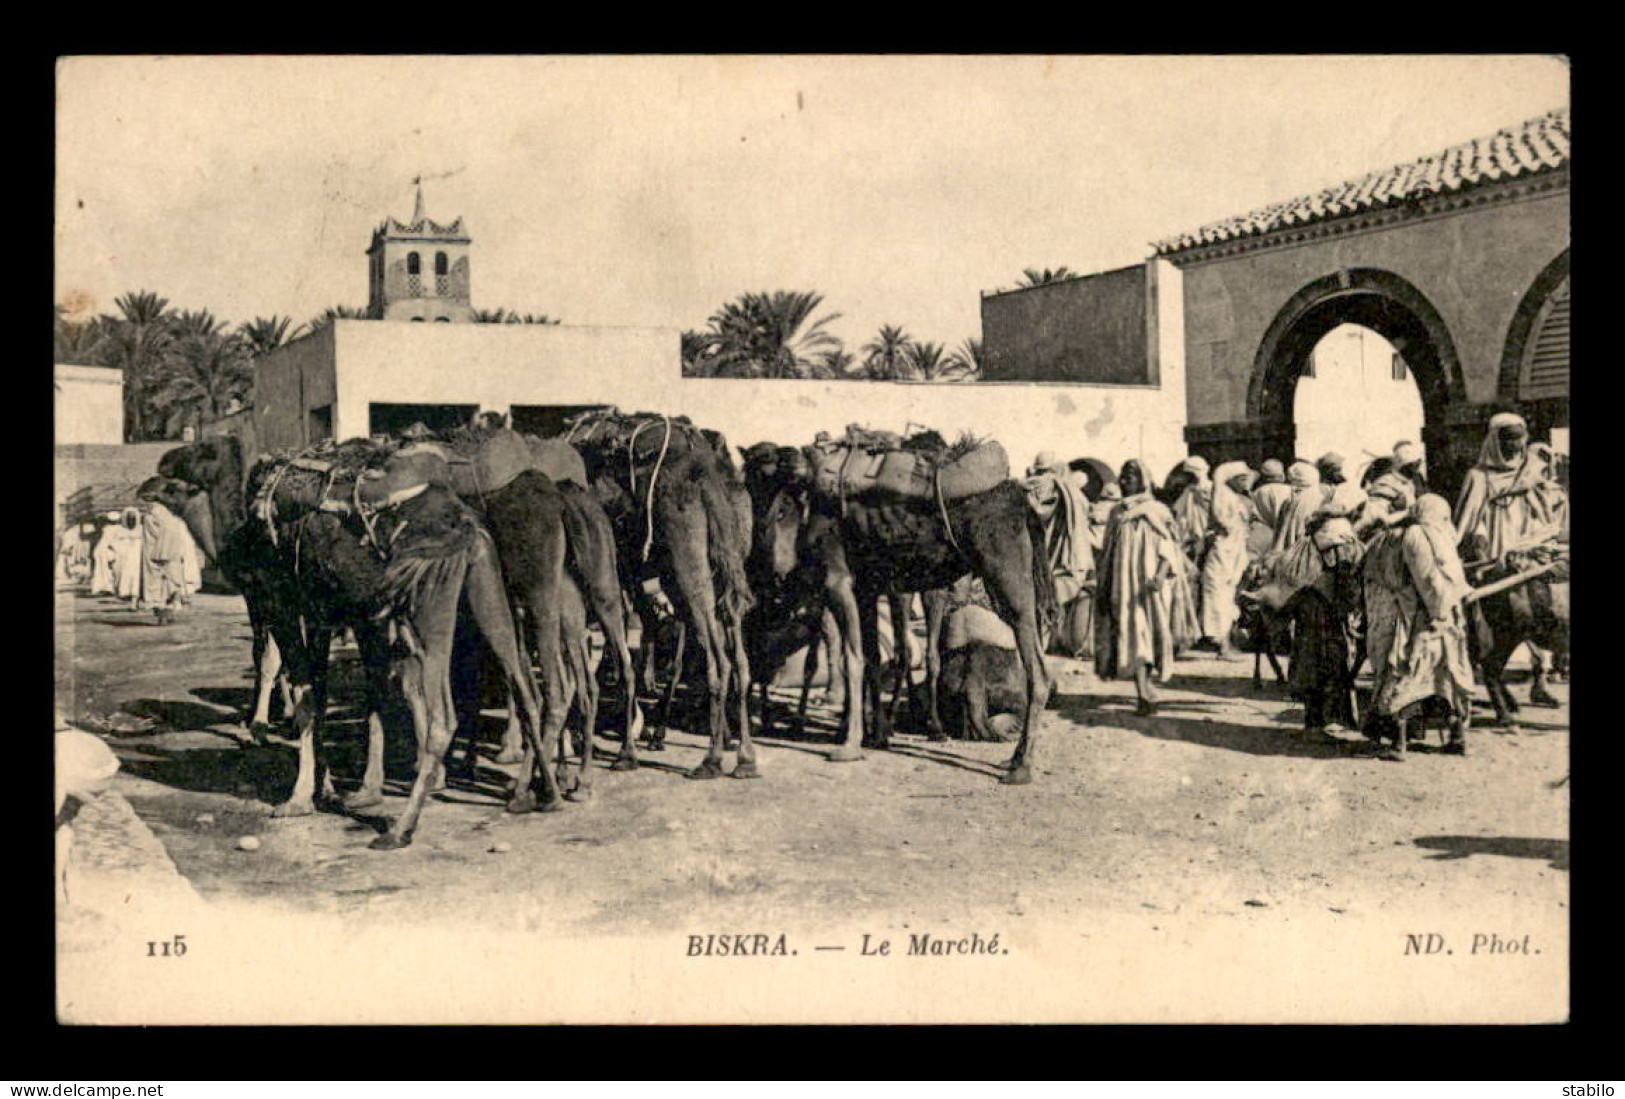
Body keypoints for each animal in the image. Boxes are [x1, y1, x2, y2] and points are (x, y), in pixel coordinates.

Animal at [744, 432, 1059, 786]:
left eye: (767, 470)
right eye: (747, 476)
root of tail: (1022, 502)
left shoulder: (838, 582)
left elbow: (852, 658)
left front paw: (848, 745)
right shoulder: (866, 588)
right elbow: (871, 658)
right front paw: (876, 734)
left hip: (1006, 576)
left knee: (1037, 668)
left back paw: (1021, 766)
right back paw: (1010, 757)